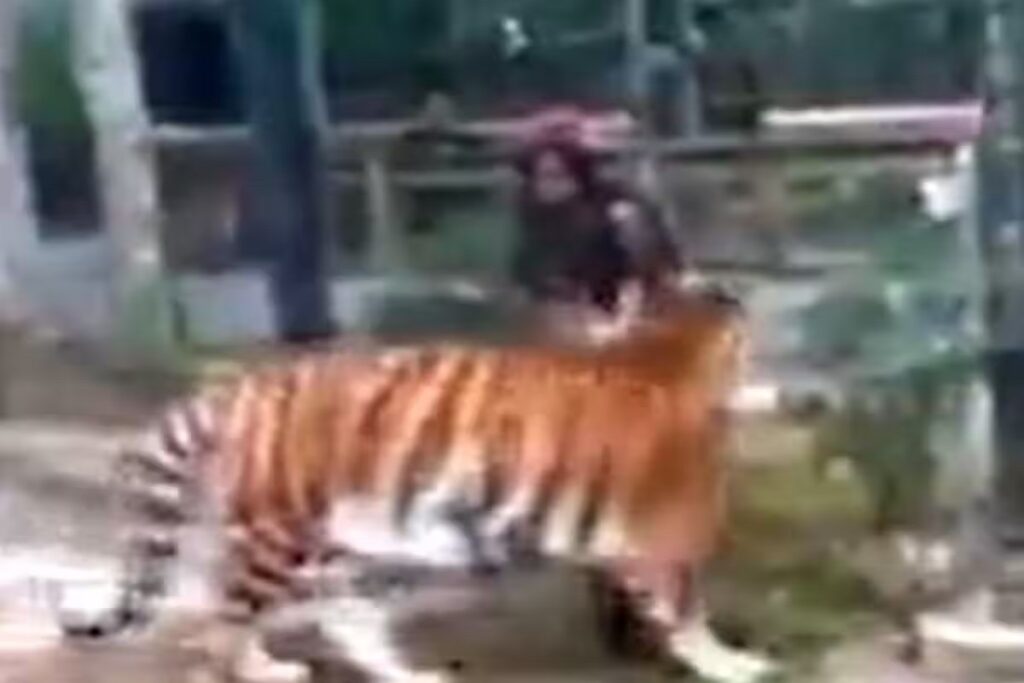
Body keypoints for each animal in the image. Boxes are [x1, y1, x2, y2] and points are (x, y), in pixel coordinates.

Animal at [56, 280, 774, 683]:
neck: (668, 345)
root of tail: (236, 389)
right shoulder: (668, 539)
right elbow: (688, 614)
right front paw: (731, 666)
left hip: (332, 545)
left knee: (341, 618)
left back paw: (406, 675)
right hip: (279, 537)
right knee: (220, 623)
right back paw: (261, 668)